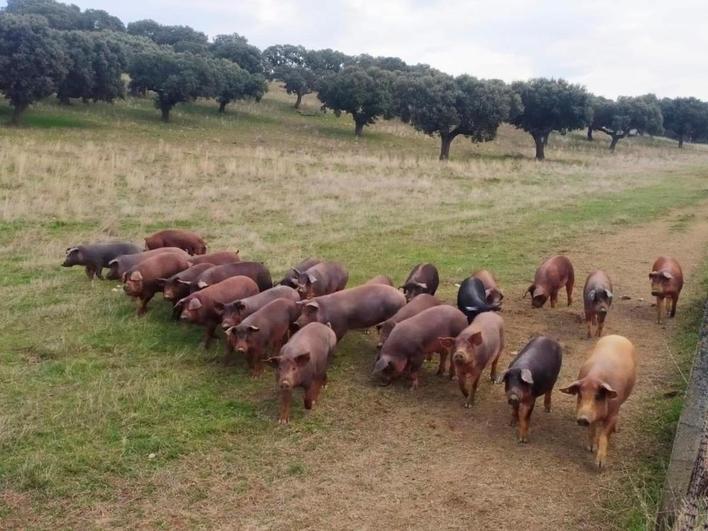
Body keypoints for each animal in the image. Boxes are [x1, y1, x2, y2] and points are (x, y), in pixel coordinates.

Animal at [560, 336, 640, 470]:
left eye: (598, 396)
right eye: (580, 395)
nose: (583, 419)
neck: (595, 378)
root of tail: (617, 336)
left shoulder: (613, 414)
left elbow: (603, 436)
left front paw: (600, 465)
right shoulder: (592, 417)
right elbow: (592, 429)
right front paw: (590, 448)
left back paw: (616, 429)